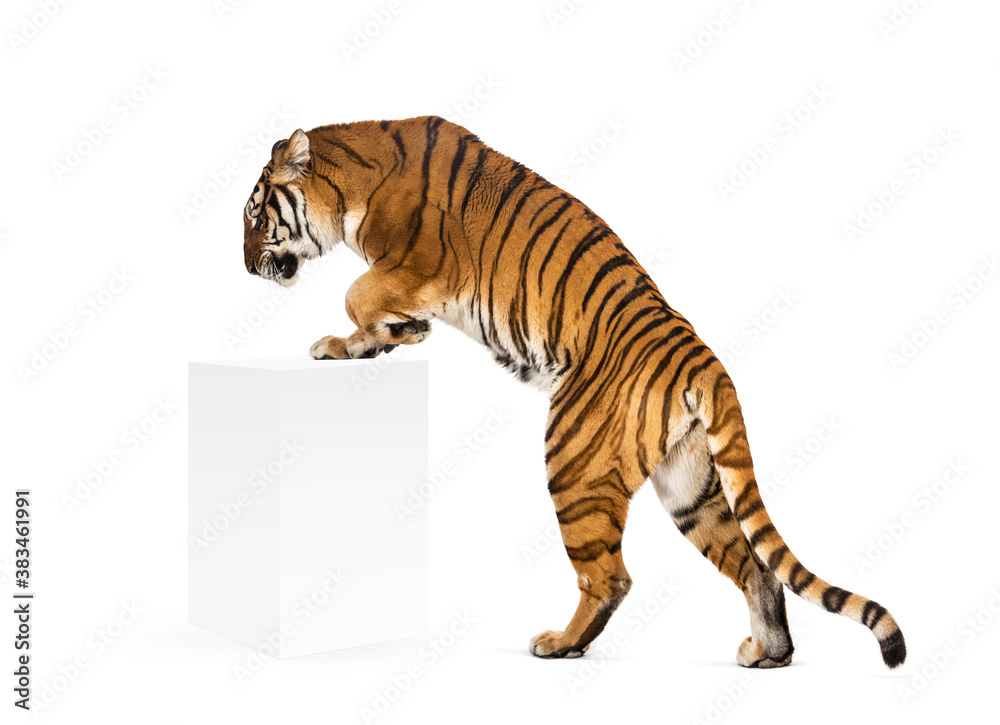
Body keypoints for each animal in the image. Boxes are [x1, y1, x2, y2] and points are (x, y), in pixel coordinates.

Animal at [242, 116, 906, 668]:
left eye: (254, 217)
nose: (247, 267)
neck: (352, 181)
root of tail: (707, 362)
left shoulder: (422, 265)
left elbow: (355, 293)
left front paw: (399, 330)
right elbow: (360, 314)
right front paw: (358, 344)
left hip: (574, 462)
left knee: (611, 577)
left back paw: (560, 644)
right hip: (692, 489)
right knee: (756, 568)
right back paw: (768, 654)